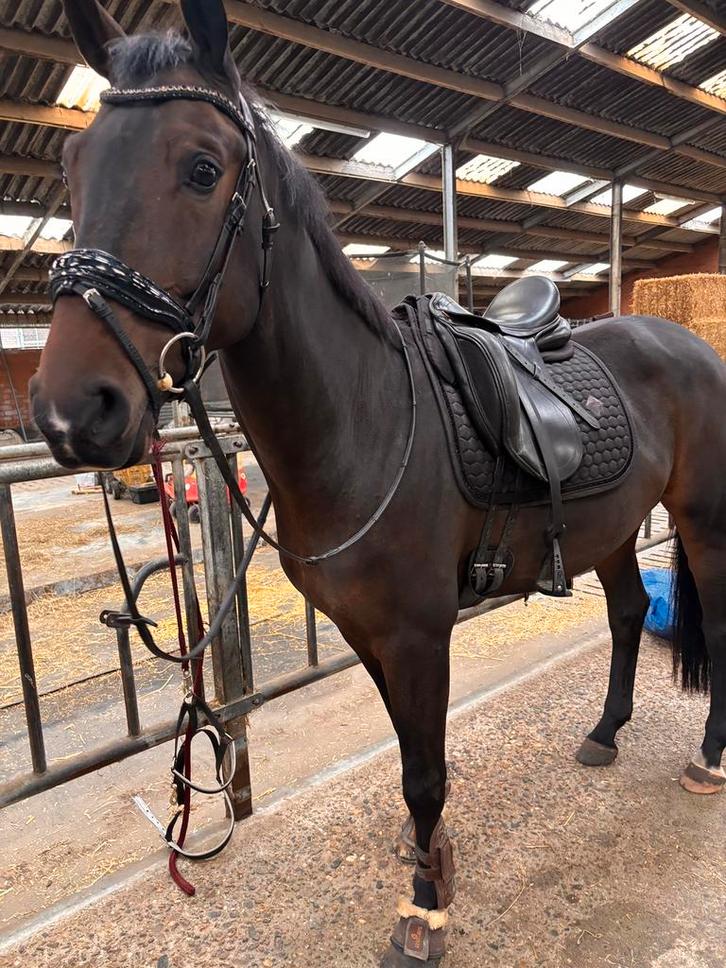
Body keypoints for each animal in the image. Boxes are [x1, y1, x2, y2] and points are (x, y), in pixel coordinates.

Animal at [30, 1, 724, 963]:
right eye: (72, 166)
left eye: (202, 169)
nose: (72, 411)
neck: (364, 423)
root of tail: (684, 340)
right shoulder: (366, 634)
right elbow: (406, 751)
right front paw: (429, 857)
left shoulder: (418, 634)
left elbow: (425, 773)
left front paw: (425, 907)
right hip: (615, 525)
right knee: (626, 615)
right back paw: (603, 733)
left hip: (701, 516)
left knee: (717, 624)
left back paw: (708, 755)